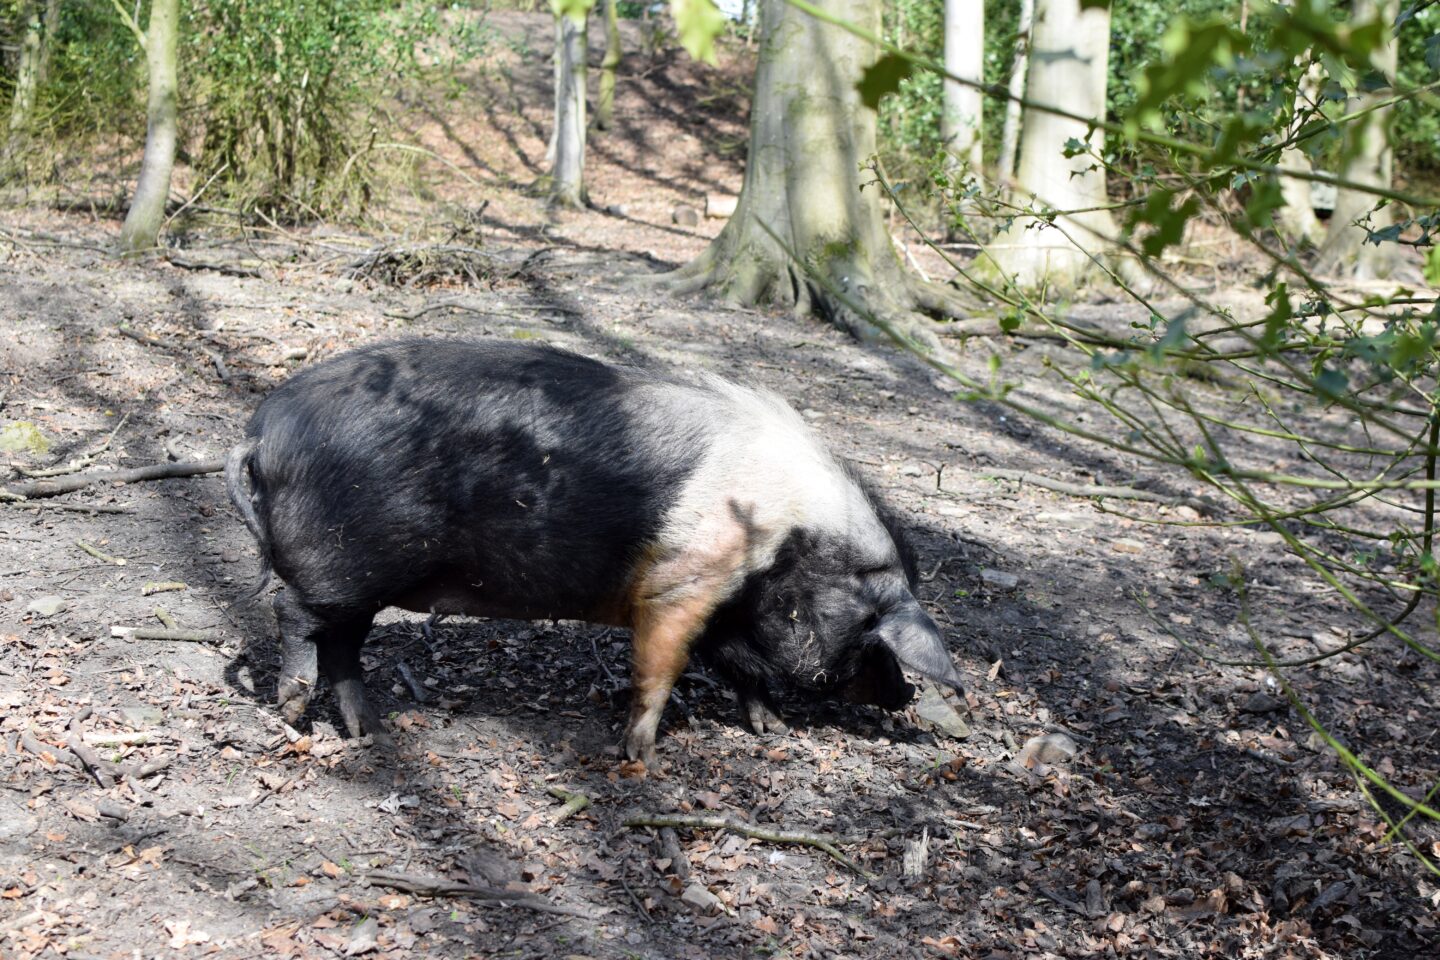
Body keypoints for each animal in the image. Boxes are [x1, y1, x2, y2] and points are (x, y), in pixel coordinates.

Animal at [225, 339, 962, 765]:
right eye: (874, 625)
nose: (906, 694)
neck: (782, 540)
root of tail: (260, 431)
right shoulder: (682, 582)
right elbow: (662, 665)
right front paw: (638, 757)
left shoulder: (722, 602)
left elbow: (738, 666)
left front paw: (771, 731)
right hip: (346, 566)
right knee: (292, 613)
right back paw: (294, 711)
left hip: (361, 583)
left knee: (341, 647)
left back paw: (369, 734)